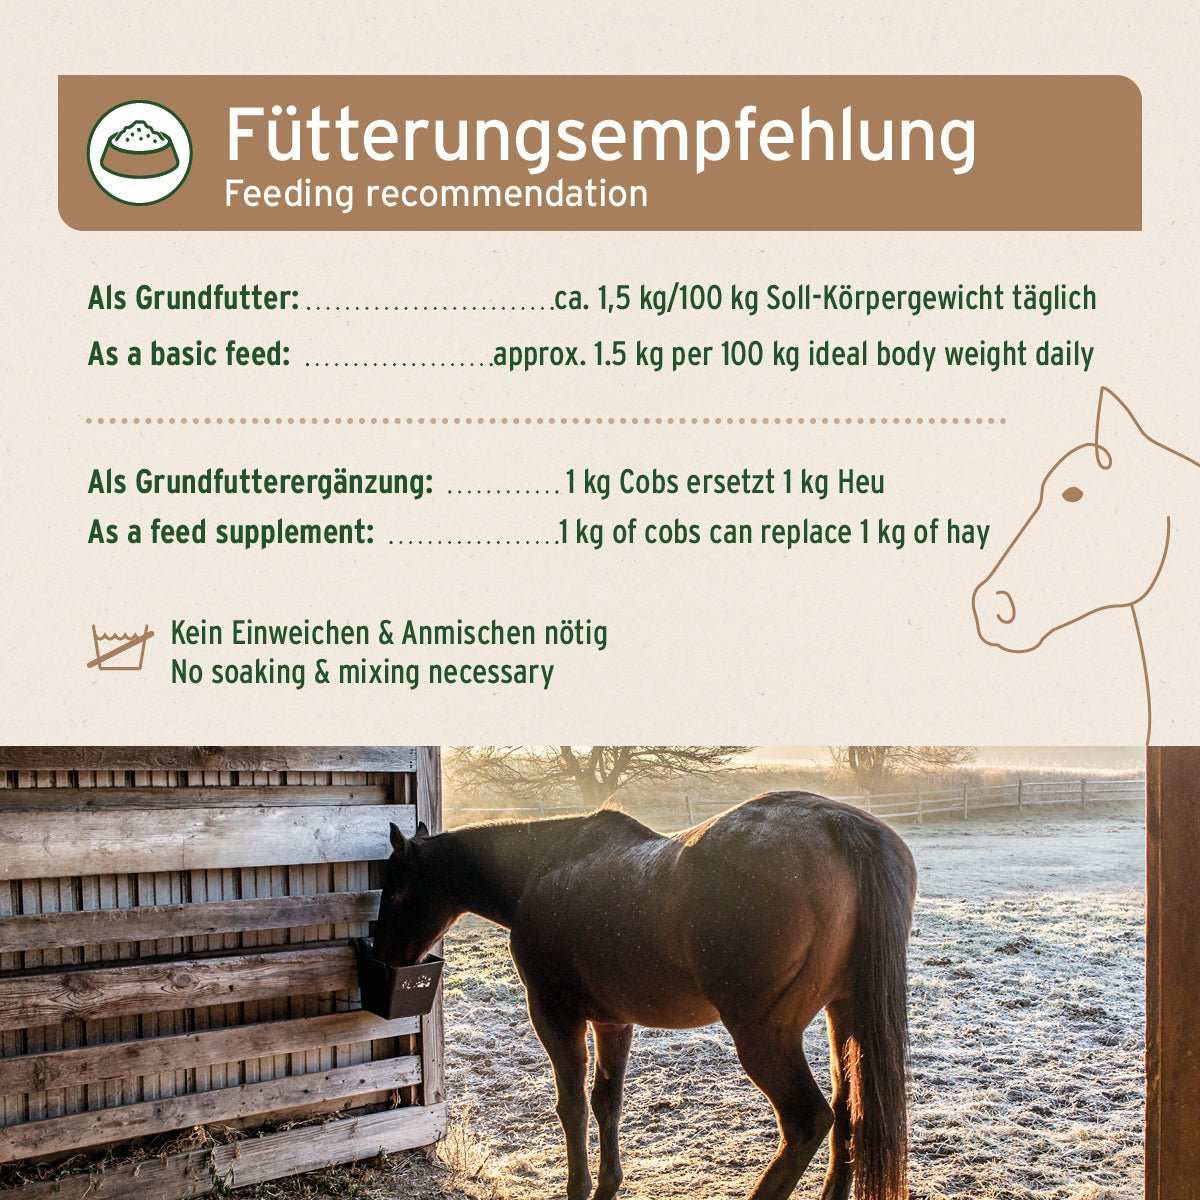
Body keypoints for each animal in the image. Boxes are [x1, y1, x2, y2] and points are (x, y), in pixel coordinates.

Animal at [374, 791, 916, 1200]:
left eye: (396, 891)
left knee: (808, 1122)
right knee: (848, 1113)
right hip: (844, 1015)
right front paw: (607, 1185)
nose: (382, 955)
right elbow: (606, 1101)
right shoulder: (612, 1020)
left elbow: (571, 1104)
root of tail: (838, 826)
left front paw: (579, 1187)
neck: (543, 870)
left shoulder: (555, 1014)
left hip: (764, 1034)